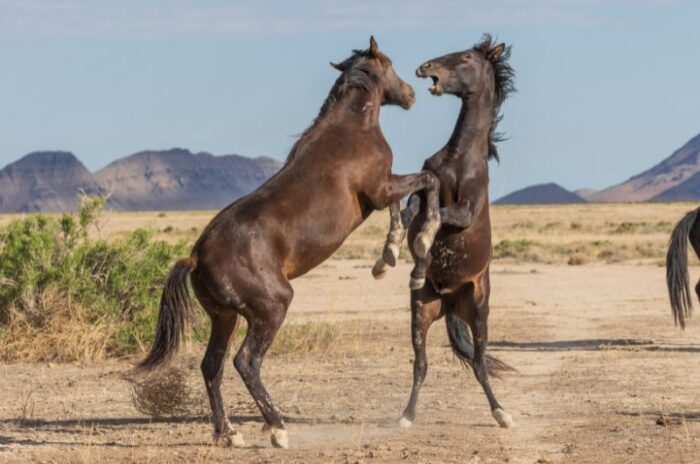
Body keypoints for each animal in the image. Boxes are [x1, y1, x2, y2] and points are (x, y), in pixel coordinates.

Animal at [136, 37, 442, 449]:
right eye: (390, 64)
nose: (410, 94)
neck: (351, 129)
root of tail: (196, 258)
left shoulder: (382, 191)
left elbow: (401, 207)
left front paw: (388, 255)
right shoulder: (380, 189)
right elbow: (427, 182)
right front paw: (418, 242)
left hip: (224, 316)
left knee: (212, 366)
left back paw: (228, 433)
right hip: (271, 308)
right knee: (245, 362)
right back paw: (277, 428)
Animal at [372, 34, 517, 429]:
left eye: (466, 57)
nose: (425, 67)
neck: (459, 158)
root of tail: (451, 301)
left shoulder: (467, 211)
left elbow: (437, 216)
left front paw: (420, 246)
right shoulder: (425, 185)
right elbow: (412, 207)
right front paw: (390, 254)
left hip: (479, 312)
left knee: (480, 363)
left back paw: (502, 414)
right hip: (421, 311)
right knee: (421, 364)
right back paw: (406, 416)